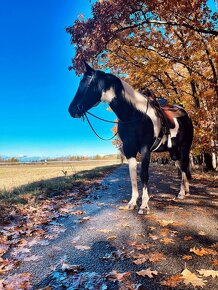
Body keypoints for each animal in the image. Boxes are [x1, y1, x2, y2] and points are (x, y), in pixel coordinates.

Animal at [69, 63, 193, 214]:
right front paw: (132, 202)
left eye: (85, 83)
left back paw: (182, 192)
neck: (134, 114)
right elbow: (132, 175)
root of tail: (184, 113)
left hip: (185, 146)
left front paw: (144, 205)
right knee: (180, 166)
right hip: (173, 150)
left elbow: (143, 175)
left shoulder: (145, 149)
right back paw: (185, 190)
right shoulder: (129, 149)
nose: (71, 110)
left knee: (184, 165)